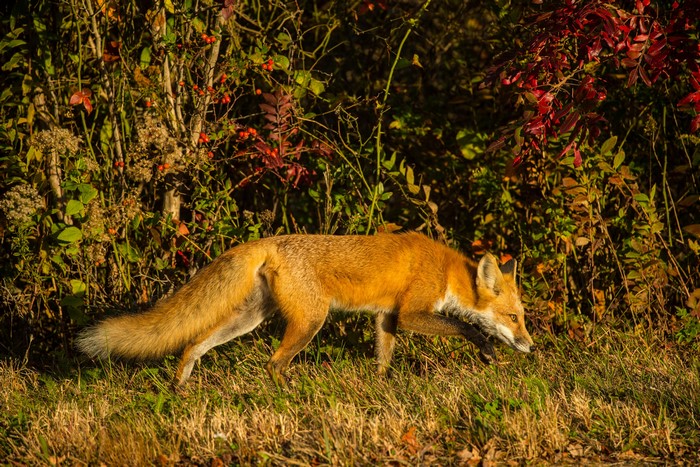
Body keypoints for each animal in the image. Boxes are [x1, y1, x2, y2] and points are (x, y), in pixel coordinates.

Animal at [77, 232, 534, 386]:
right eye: (513, 318)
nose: (531, 347)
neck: (445, 271)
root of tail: (270, 240)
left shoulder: (386, 317)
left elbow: (383, 359)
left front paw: (381, 388)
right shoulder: (410, 313)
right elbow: (469, 328)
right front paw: (488, 351)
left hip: (249, 318)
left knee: (195, 343)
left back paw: (180, 386)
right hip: (311, 321)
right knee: (274, 363)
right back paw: (285, 394)